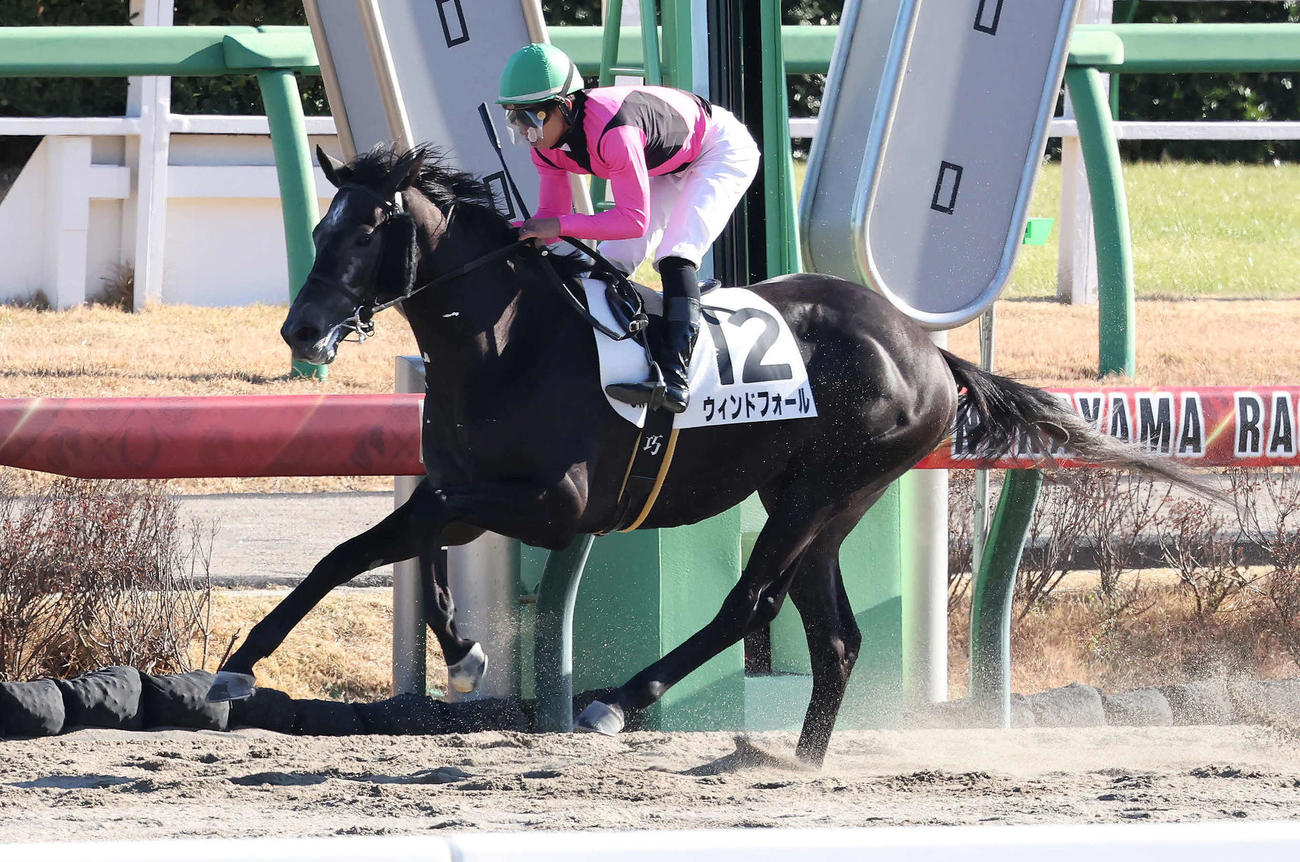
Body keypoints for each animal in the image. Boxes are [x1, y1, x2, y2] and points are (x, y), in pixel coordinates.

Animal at [208, 144, 1208, 766]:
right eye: (319, 227)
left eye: (363, 230)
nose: (301, 328)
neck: (506, 341)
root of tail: (931, 353)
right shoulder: (461, 484)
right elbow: (376, 550)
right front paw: (447, 655)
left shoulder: (557, 504)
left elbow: (389, 542)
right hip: (821, 503)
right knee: (835, 636)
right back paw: (795, 763)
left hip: (822, 488)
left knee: (750, 601)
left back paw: (619, 700)